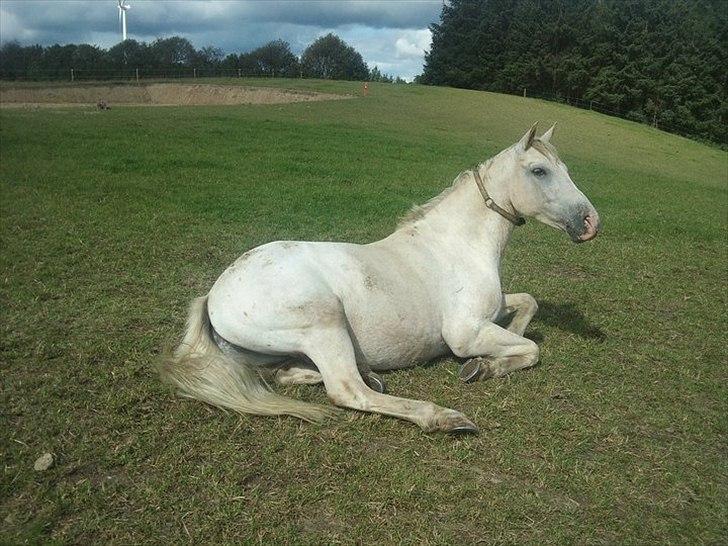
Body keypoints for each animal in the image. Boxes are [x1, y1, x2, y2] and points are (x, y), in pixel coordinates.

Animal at [159, 121, 596, 432]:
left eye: (567, 169)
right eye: (539, 170)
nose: (591, 222)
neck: (457, 245)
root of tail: (213, 296)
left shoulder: (493, 310)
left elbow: (527, 308)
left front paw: (489, 362)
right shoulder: (465, 331)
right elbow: (531, 349)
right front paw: (481, 366)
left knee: (288, 374)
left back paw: (369, 375)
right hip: (324, 326)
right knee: (346, 390)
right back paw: (442, 417)